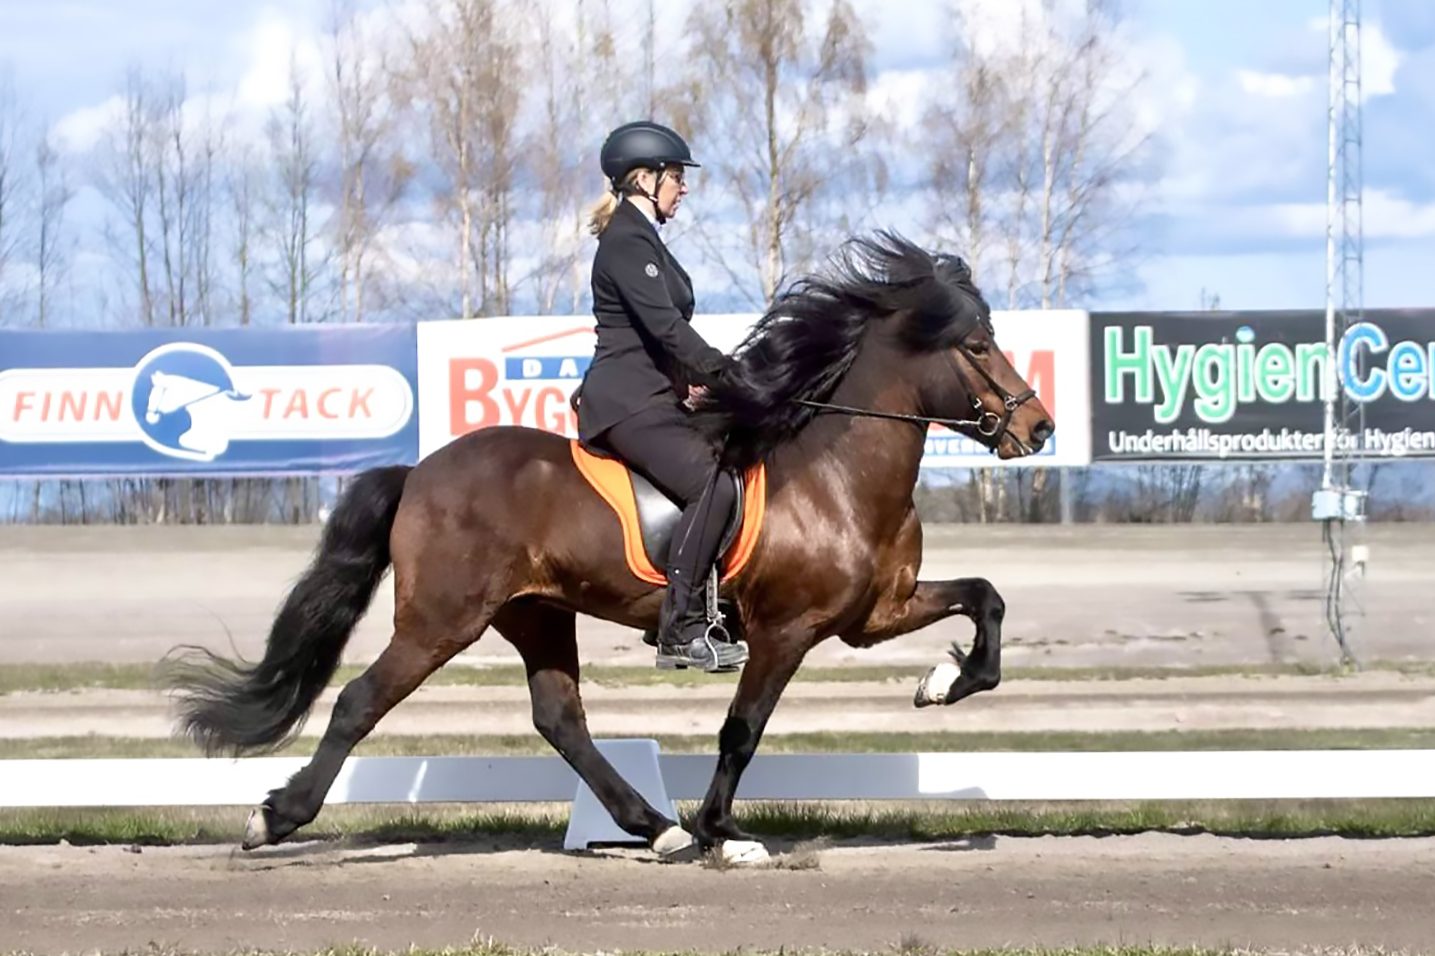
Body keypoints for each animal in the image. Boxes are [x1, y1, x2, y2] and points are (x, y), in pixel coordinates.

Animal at [165, 232, 1056, 861]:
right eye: (976, 346)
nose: (1039, 427)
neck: (836, 472)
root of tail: (420, 470)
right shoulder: (786, 630)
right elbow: (741, 730)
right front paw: (725, 833)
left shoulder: (874, 612)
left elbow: (986, 599)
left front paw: (941, 684)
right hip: (441, 619)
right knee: (359, 702)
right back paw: (273, 818)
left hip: (534, 613)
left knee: (559, 718)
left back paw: (653, 826)